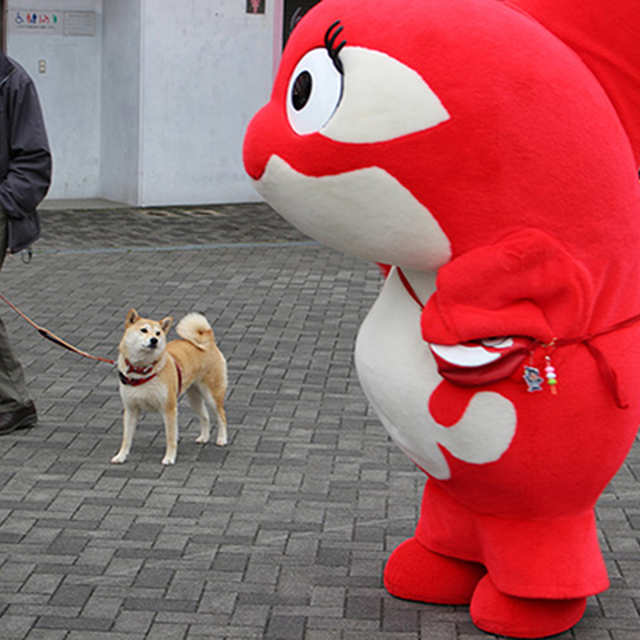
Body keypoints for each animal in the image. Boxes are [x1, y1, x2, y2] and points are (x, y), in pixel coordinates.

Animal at [112, 310, 228, 464]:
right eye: (143, 330)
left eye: (158, 333)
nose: (154, 340)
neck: (143, 371)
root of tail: (208, 341)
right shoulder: (131, 410)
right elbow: (126, 439)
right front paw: (121, 456)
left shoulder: (169, 409)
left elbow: (171, 437)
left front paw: (169, 458)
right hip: (194, 397)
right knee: (205, 416)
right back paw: (204, 437)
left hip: (212, 395)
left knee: (221, 416)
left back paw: (222, 439)